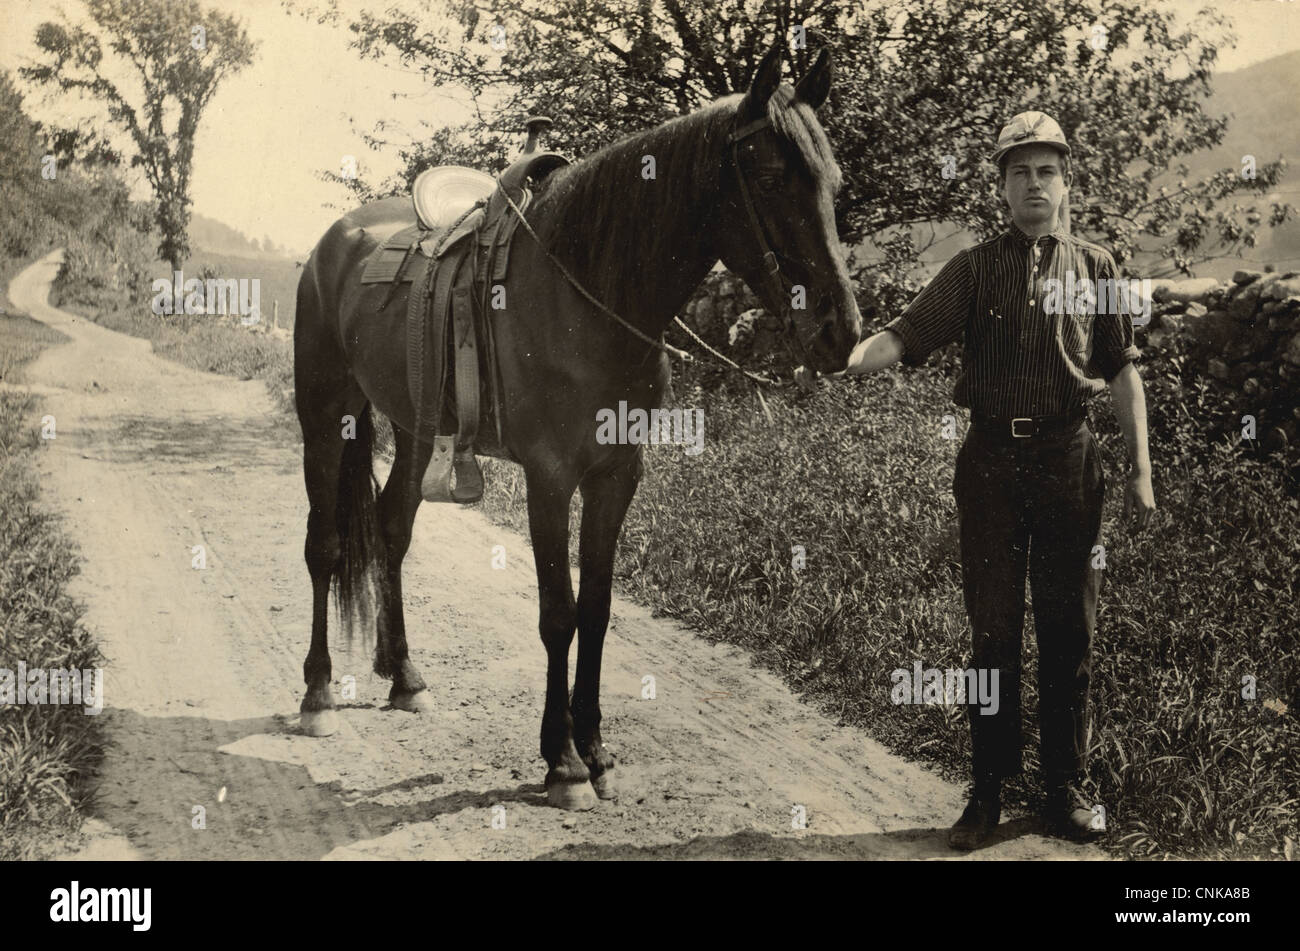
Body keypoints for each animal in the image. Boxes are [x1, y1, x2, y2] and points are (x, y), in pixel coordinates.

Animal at [292, 44, 862, 810]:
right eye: (771, 179)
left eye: (833, 181)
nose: (841, 332)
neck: (587, 293)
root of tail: (336, 243)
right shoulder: (550, 478)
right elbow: (557, 612)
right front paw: (560, 762)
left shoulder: (616, 475)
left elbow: (595, 607)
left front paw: (594, 750)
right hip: (326, 415)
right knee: (324, 546)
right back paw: (318, 694)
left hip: (412, 429)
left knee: (391, 531)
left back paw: (405, 675)